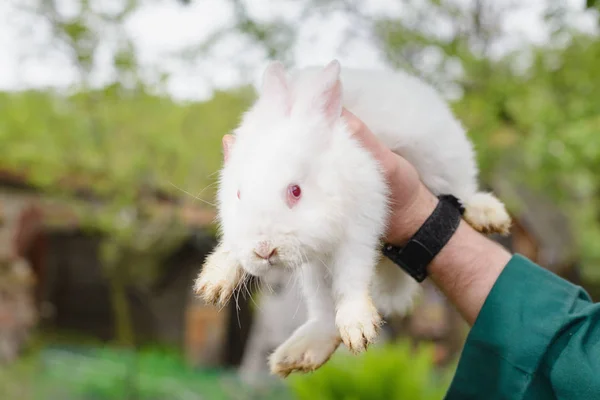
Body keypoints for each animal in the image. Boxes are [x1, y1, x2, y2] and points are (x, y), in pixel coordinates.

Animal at [193, 59, 510, 378]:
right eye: (238, 194)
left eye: (296, 191)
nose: (264, 250)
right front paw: (214, 280)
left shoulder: (362, 221)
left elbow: (352, 273)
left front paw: (358, 326)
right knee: (322, 312)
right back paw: (299, 354)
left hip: (445, 163)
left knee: (463, 190)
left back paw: (487, 213)